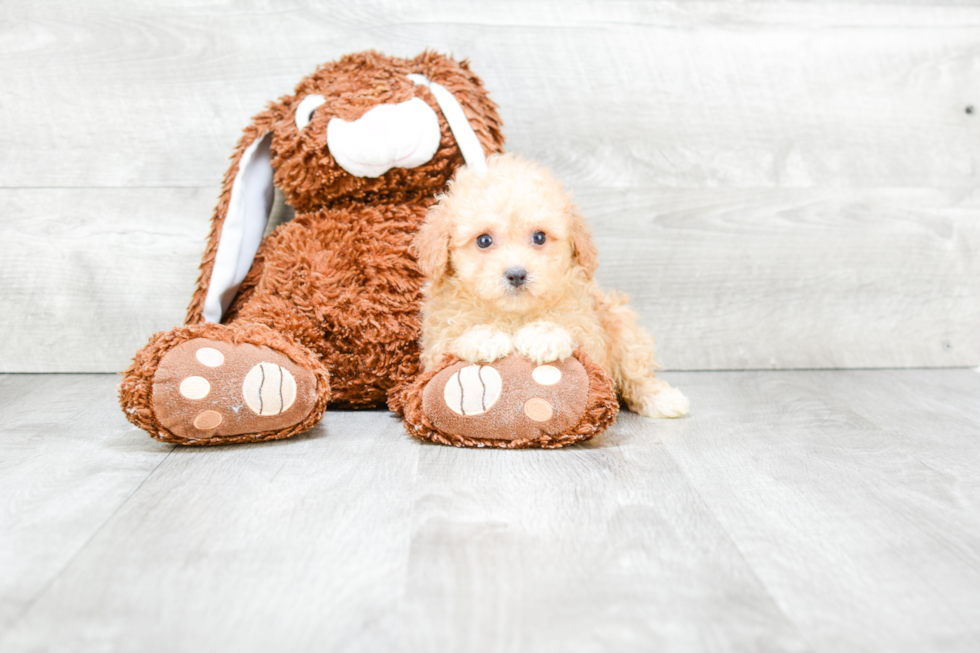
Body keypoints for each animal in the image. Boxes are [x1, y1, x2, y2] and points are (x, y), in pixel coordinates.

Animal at [414, 153, 688, 418]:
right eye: (483, 240)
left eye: (539, 237)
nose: (516, 274)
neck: (515, 315)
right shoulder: (436, 343)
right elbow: (451, 339)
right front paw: (484, 337)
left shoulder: (590, 334)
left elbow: (575, 336)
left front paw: (543, 336)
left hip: (620, 322)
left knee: (637, 371)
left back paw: (662, 399)